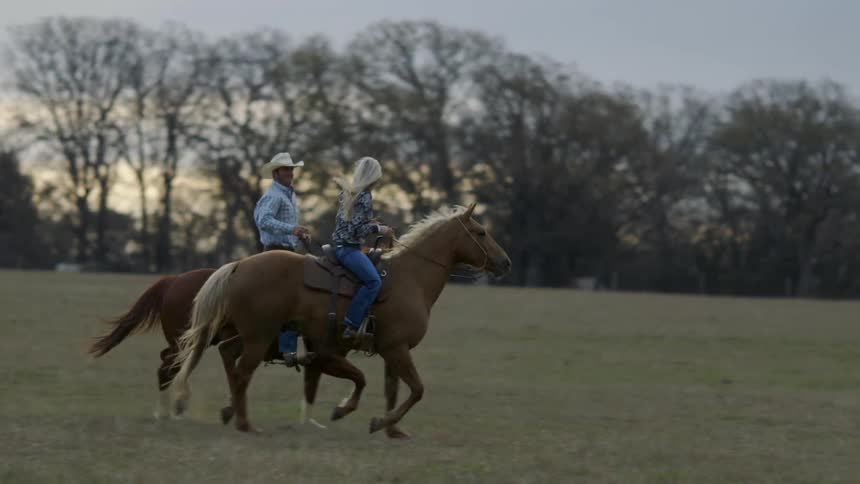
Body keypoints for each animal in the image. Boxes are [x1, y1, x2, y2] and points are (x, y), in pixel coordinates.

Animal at [170, 202, 512, 436]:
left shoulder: (390, 351)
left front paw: (391, 429)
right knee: (242, 372)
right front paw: (356, 414)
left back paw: (231, 412)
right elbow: (411, 388)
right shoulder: (389, 349)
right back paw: (244, 423)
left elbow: (392, 389)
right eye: (481, 232)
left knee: (228, 354)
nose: (505, 262)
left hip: (248, 334)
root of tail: (239, 265)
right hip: (259, 338)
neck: (411, 279)